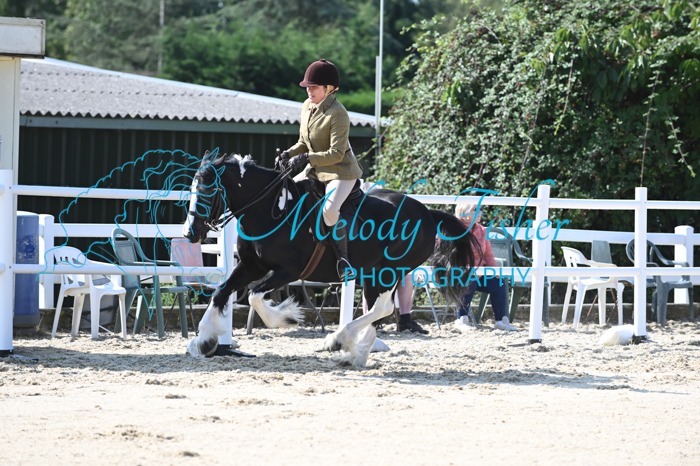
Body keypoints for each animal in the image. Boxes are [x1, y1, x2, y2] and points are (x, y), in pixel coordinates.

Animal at [182, 149, 475, 367]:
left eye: (208, 192)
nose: (189, 233)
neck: (270, 209)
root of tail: (427, 213)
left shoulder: (287, 271)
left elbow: (254, 296)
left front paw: (288, 317)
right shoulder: (250, 266)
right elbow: (220, 293)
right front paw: (204, 342)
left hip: (389, 271)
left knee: (382, 308)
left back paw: (338, 340)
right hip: (373, 273)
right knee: (376, 311)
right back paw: (355, 355)